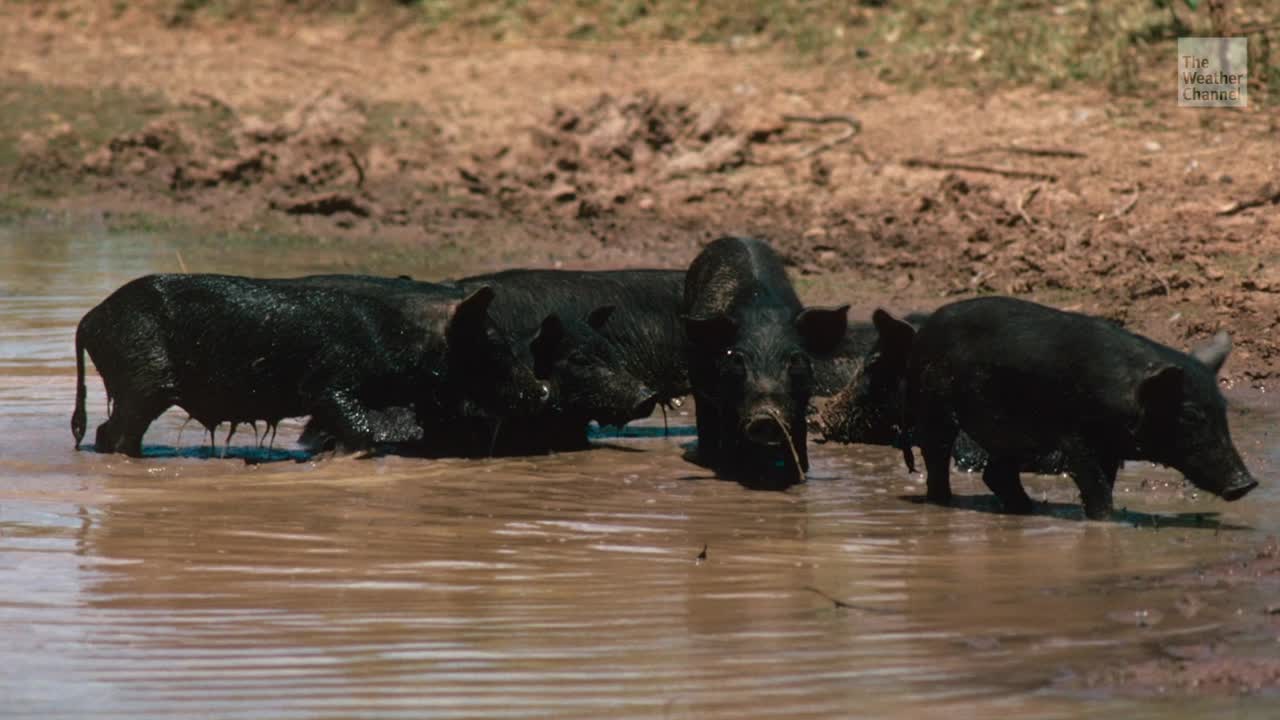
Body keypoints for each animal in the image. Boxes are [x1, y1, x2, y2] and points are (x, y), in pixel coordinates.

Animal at [71, 273, 547, 457]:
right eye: (493, 343)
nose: (541, 390)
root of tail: (88, 319)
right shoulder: (328, 382)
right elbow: (356, 427)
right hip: (141, 379)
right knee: (114, 432)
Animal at [682, 236, 849, 490]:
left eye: (795, 359)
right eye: (737, 359)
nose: (766, 416)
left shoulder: (801, 402)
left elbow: (799, 443)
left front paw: (797, 476)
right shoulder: (726, 402)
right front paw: (737, 474)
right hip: (699, 390)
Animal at [855, 296, 1257, 519]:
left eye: (1223, 412)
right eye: (1189, 416)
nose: (1247, 483)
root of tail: (922, 333)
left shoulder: (1108, 447)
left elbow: (1105, 484)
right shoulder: (1074, 436)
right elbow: (1096, 488)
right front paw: (1106, 521)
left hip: (1010, 428)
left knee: (997, 474)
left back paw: (1028, 510)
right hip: (935, 406)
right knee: (938, 461)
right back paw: (944, 502)